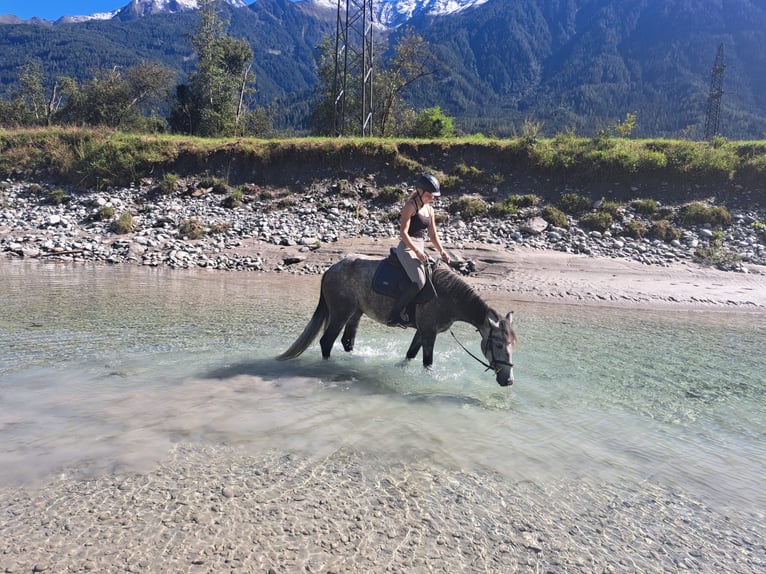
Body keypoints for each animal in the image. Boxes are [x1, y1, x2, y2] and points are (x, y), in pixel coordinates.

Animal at [276, 254, 517, 386]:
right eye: (497, 344)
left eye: (512, 345)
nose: (509, 381)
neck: (447, 296)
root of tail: (330, 270)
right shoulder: (429, 333)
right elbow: (427, 362)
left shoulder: (422, 331)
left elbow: (410, 355)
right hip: (340, 314)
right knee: (326, 342)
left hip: (355, 313)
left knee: (346, 342)